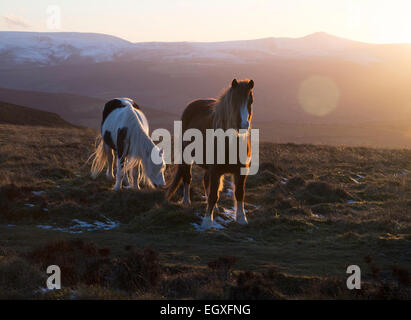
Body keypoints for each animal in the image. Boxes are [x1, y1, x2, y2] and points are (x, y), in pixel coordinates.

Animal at [167, 77, 254, 228]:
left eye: (250, 101)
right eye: (234, 101)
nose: (244, 125)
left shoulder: (240, 171)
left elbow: (239, 193)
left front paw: (241, 218)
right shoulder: (216, 170)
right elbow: (214, 194)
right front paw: (207, 221)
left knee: (206, 180)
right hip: (186, 158)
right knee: (187, 177)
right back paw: (186, 201)